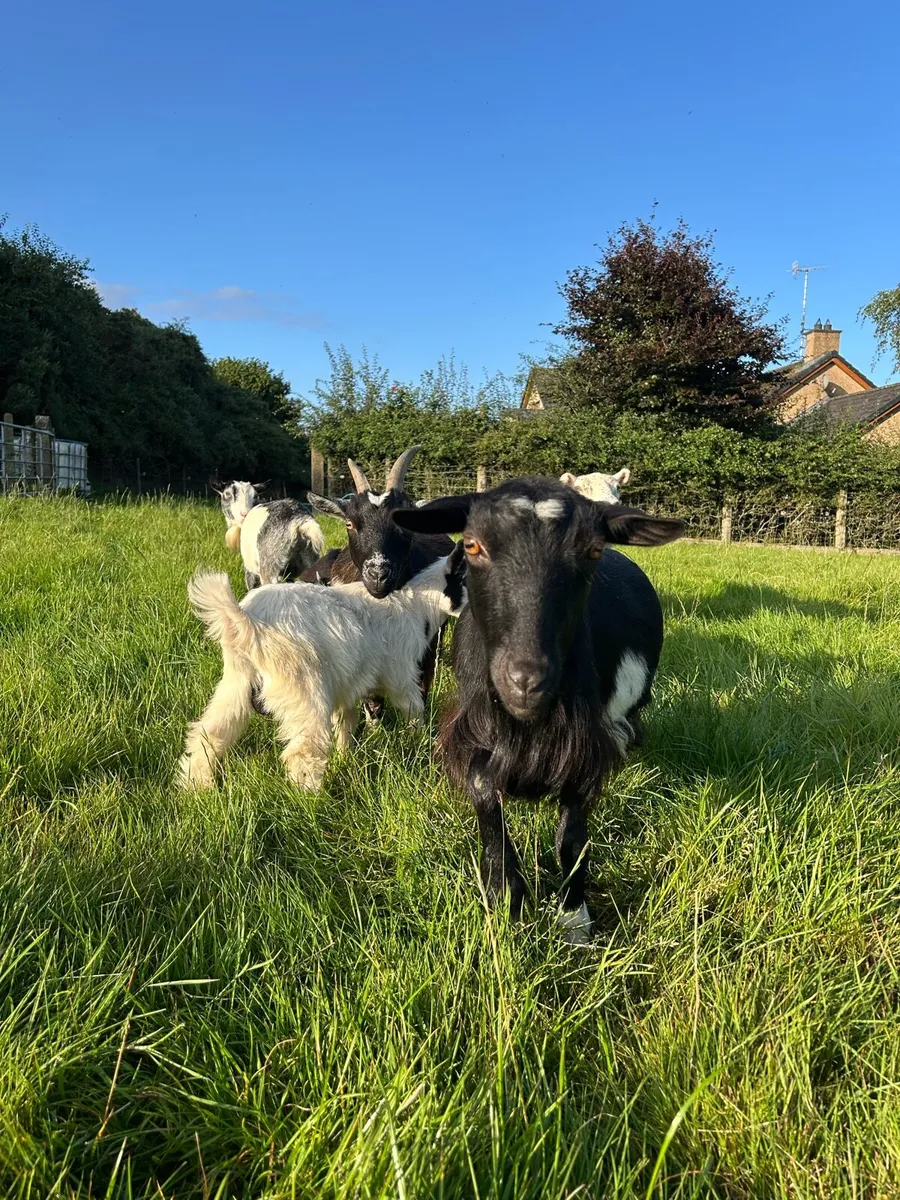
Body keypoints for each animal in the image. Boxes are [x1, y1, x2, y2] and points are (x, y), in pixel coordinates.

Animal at [178, 544, 467, 791]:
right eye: (466, 581)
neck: (416, 605)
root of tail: (246, 620)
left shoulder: (349, 685)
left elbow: (347, 722)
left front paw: (344, 758)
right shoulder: (401, 677)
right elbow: (414, 710)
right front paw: (419, 743)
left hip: (236, 681)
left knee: (209, 733)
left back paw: (197, 787)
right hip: (303, 686)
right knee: (303, 751)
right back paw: (311, 802)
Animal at [393, 476, 683, 944]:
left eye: (593, 551)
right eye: (471, 544)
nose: (526, 680)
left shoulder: (584, 746)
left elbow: (572, 835)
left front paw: (573, 918)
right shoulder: (471, 728)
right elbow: (483, 789)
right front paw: (506, 897)